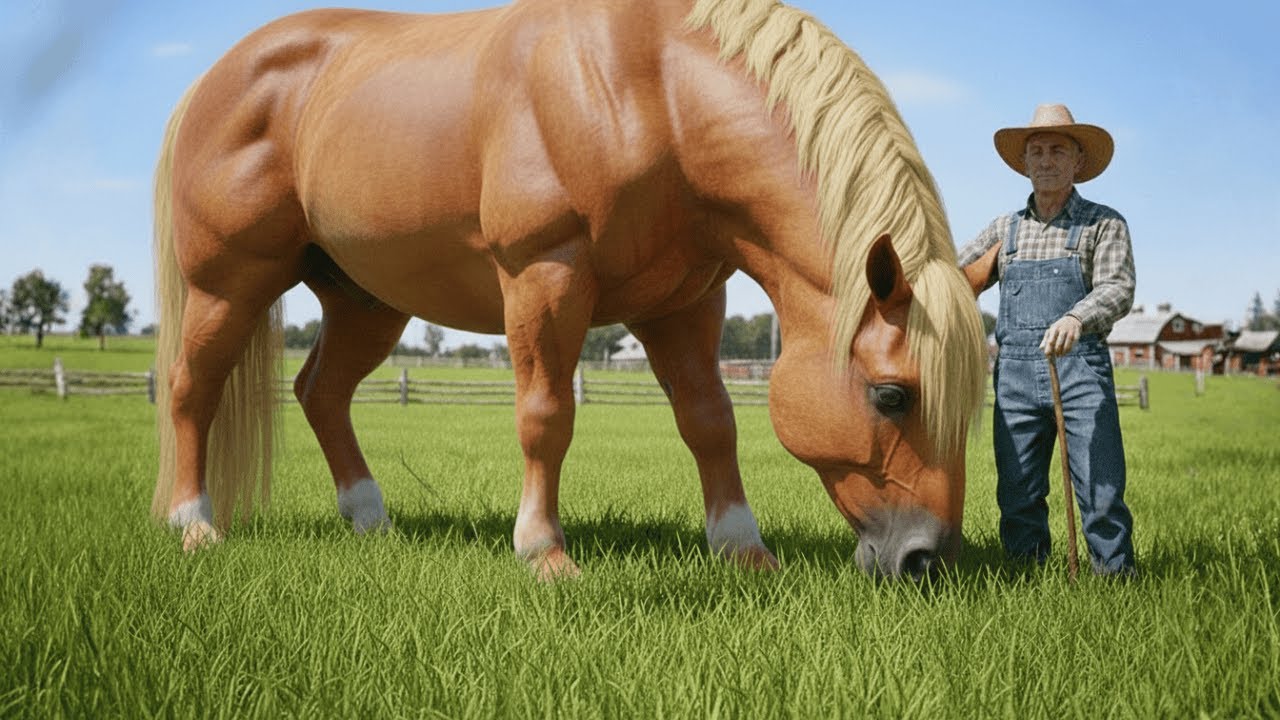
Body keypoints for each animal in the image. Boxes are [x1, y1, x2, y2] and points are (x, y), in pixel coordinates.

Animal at [151, 0, 989, 581]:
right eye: (892, 395)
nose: (927, 561)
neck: (649, 89)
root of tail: (214, 78)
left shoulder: (684, 303)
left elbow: (710, 421)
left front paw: (743, 548)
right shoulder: (544, 278)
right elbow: (546, 417)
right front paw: (544, 553)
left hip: (367, 301)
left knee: (321, 391)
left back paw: (370, 518)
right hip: (229, 282)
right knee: (193, 387)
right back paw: (193, 525)